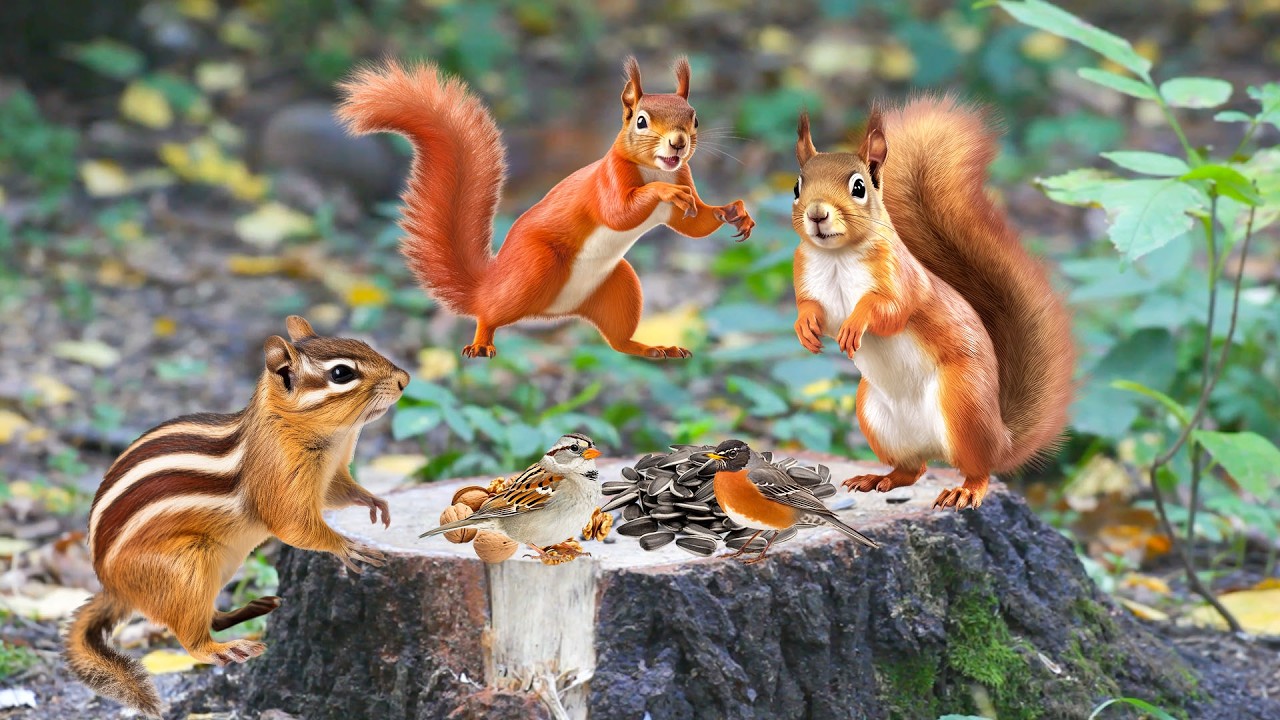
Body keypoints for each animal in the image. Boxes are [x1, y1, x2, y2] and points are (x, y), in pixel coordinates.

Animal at [63, 316, 410, 718]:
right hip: (186, 568)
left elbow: (341, 494)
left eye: (362, 344)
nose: (404, 379)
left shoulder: (331, 477)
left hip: (220, 565)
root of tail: (112, 588)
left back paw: (259, 607)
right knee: (190, 636)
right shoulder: (279, 480)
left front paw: (375, 502)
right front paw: (345, 546)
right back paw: (227, 648)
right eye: (341, 373)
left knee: (207, 616)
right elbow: (295, 526)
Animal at [335, 56, 755, 360]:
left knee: (618, 341)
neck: (657, 169)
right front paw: (665, 193)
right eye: (640, 121)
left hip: (619, 286)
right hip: (535, 268)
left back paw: (652, 347)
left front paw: (735, 211)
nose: (678, 143)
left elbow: (695, 225)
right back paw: (483, 341)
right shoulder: (608, 180)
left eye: (695, 118)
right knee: (489, 312)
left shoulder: (684, 179)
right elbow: (619, 213)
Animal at [789, 97, 1075, 510]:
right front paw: (805, 328)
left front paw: (855, 324)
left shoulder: (903, 280)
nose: (817, 213)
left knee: (978, 468)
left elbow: (889, 312)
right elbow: (811, 308)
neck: (836, 257)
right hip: (875, 416)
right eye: (797, 185)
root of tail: (1000, 437)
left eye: (858, 187)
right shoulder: (807, 278)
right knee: (914, 469)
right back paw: (877, 478)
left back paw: (965, 490)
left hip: (962, 404)